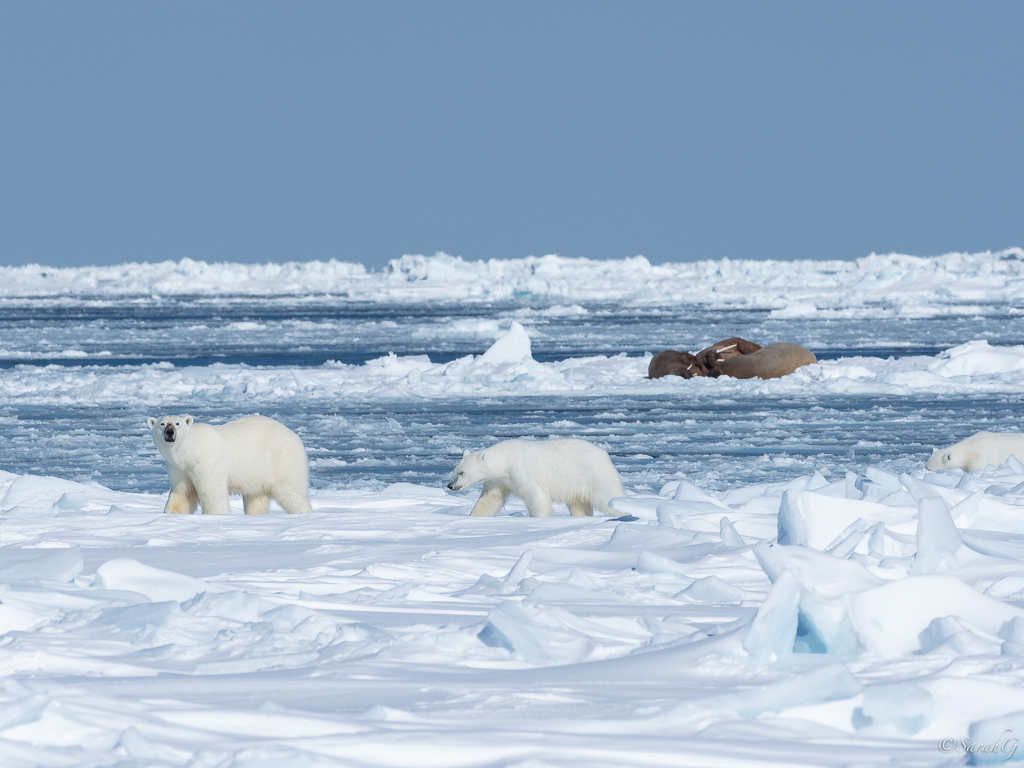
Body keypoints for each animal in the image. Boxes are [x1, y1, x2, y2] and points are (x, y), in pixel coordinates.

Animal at [147, 414, 313, 515]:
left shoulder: (206, 462)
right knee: (256, 498)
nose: (169, 432)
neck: (191, 450)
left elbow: (212, 492)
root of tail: (295, 435)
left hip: (281, 461)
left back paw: (303, 512)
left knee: (292, 492)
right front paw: (171, 513)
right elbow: (183, 492)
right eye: (162, 423)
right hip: (258, 474)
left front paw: (217, 515)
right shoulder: (179, 468)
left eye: (177, 423)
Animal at [447, 438, 625, 518]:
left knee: (607, 497)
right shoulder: (498, 481)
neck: (506, 459)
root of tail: (604, 454)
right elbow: (490, 499)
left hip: (594, 475)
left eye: (461, 473)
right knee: (578, 505)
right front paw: (474, 516)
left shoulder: (522, 472)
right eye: (454, 471)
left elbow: (536, 495)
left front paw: (539, 519)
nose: (450, 485)